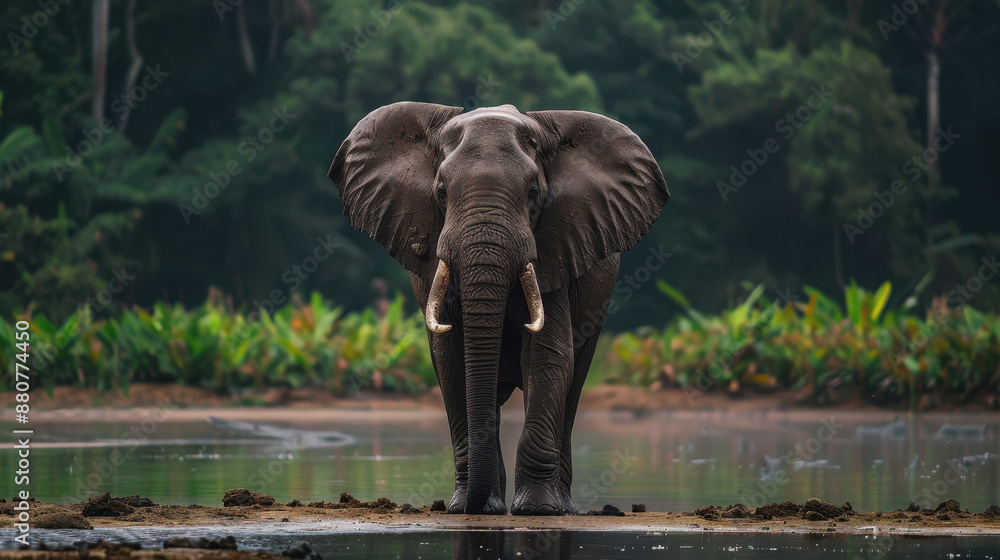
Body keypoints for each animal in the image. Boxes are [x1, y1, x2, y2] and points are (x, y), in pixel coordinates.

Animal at [329, 102, 669, 515]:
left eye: (533, 193)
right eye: (441, 192)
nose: (470, 506)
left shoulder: (555, 248)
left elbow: (547, 356)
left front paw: (536, 510)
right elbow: (451, 361)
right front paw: (468, 507)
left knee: (574, 382)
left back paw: (561, 506)